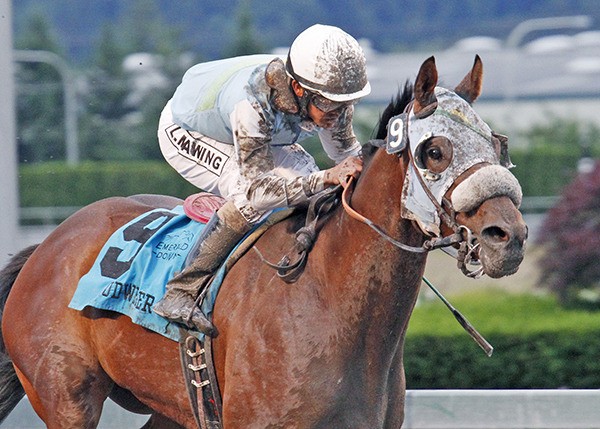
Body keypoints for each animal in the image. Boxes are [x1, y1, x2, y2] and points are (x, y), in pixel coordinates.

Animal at [0, 55, 524, 426]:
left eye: (498, 144)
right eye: (434, 151)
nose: (510, 237)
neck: (328, 298)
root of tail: (47, 245)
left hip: (173, 408)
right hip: (66, 396)